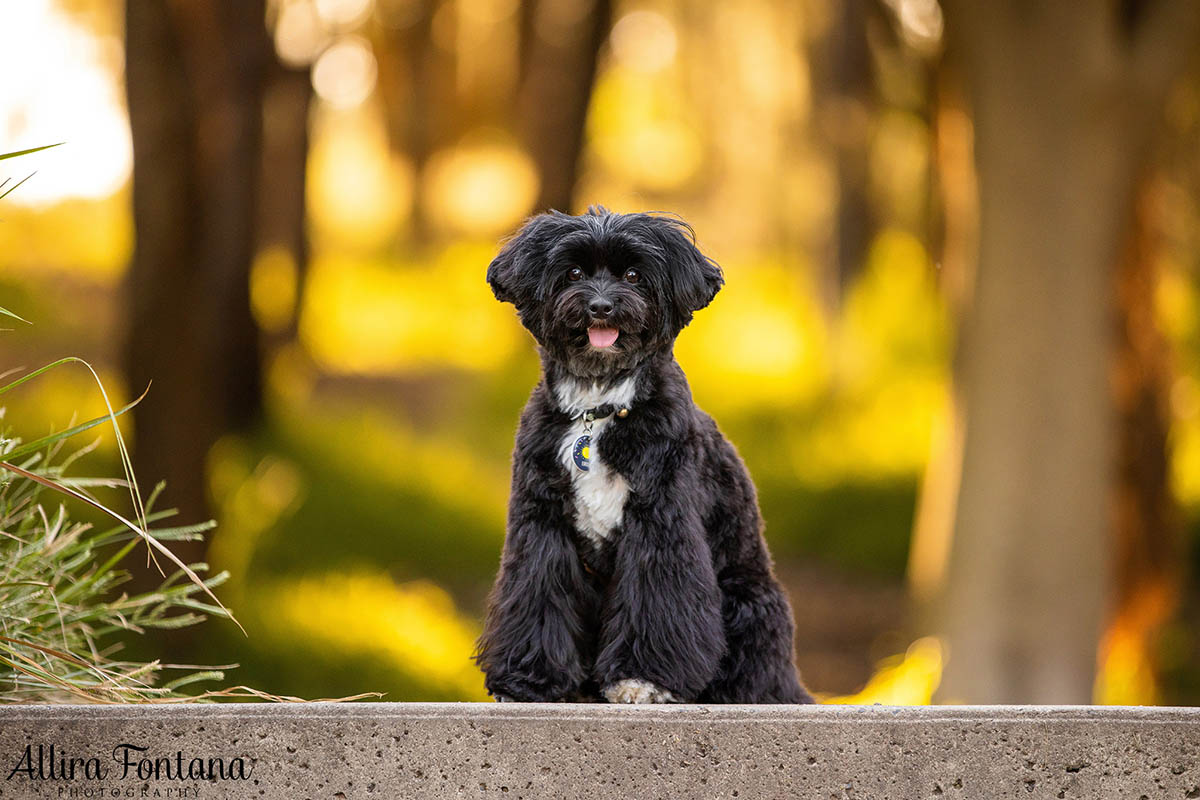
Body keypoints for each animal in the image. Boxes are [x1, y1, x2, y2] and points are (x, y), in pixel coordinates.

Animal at [472, 208, 811, 705]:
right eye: (574, 273)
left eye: (633, 275)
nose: (601, 306)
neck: (598, 408)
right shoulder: (541, 523)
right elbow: (537, 591)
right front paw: (529, 680)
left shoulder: (660, 523)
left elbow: (656, 600)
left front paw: (642, 680)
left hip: (749, 603)